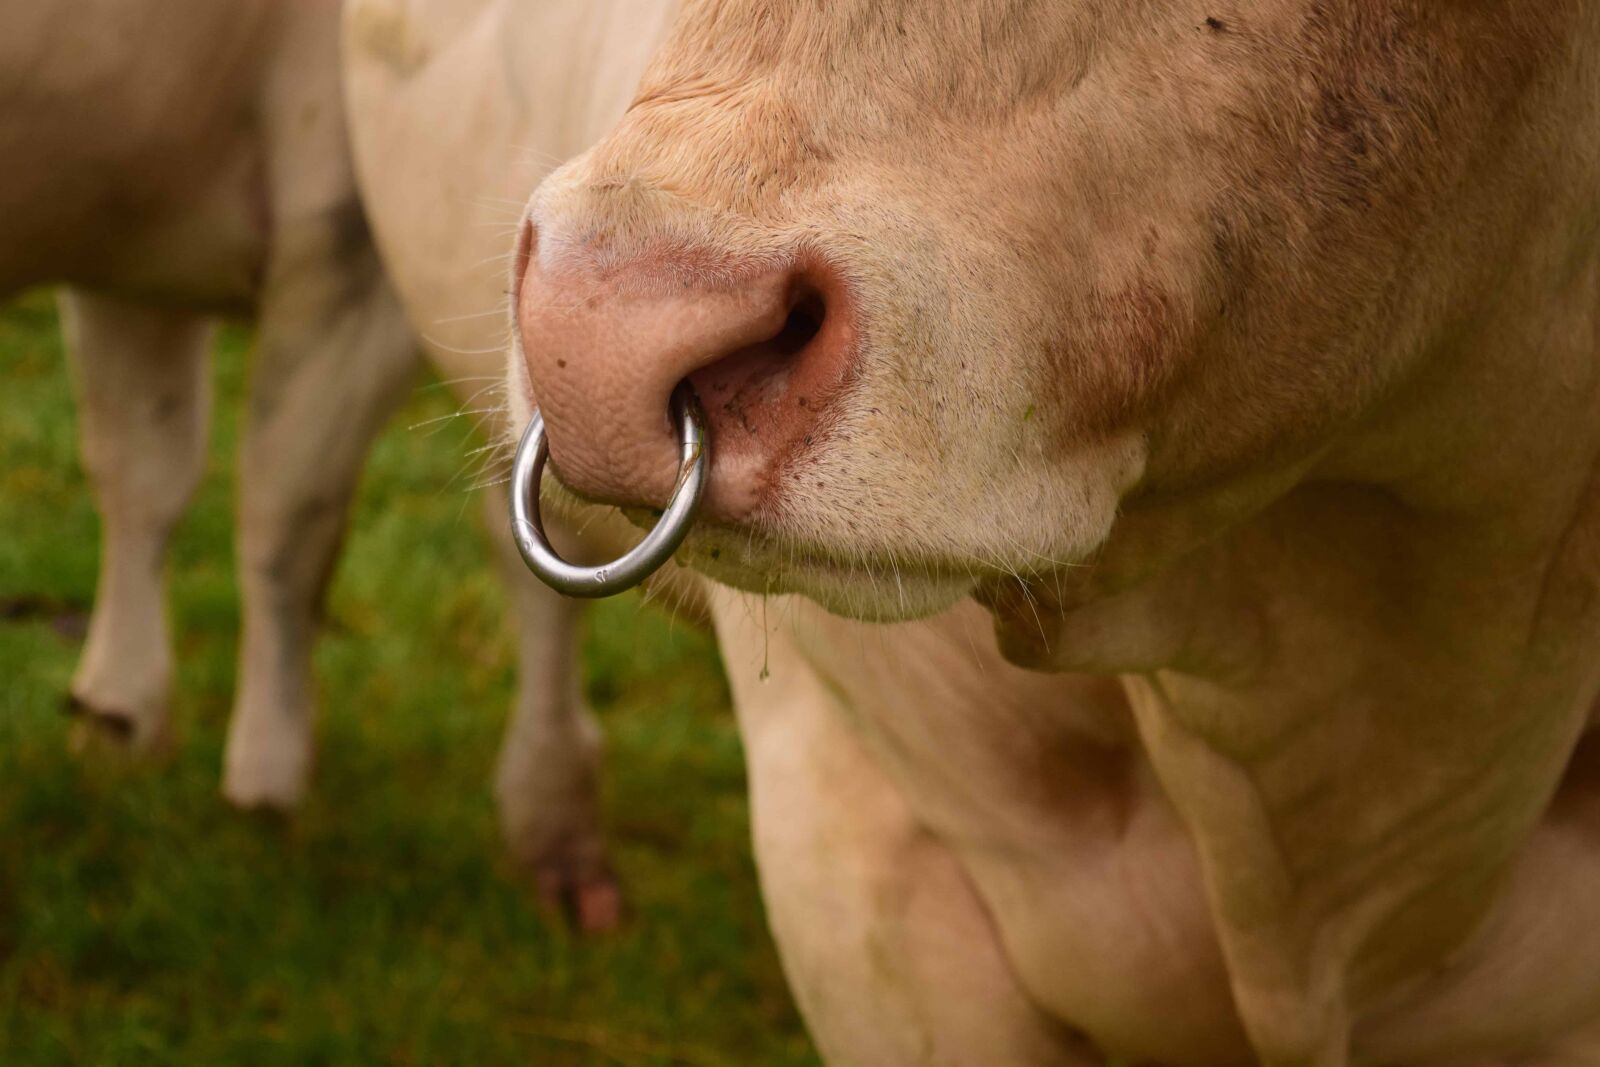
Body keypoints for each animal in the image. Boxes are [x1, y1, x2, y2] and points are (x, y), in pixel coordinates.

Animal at [3, 0, 622, 927]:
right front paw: (267, 776)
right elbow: (287, 512)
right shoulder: (358, 242)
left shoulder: (124, 231)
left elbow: (141, 468)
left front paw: (118, 713)